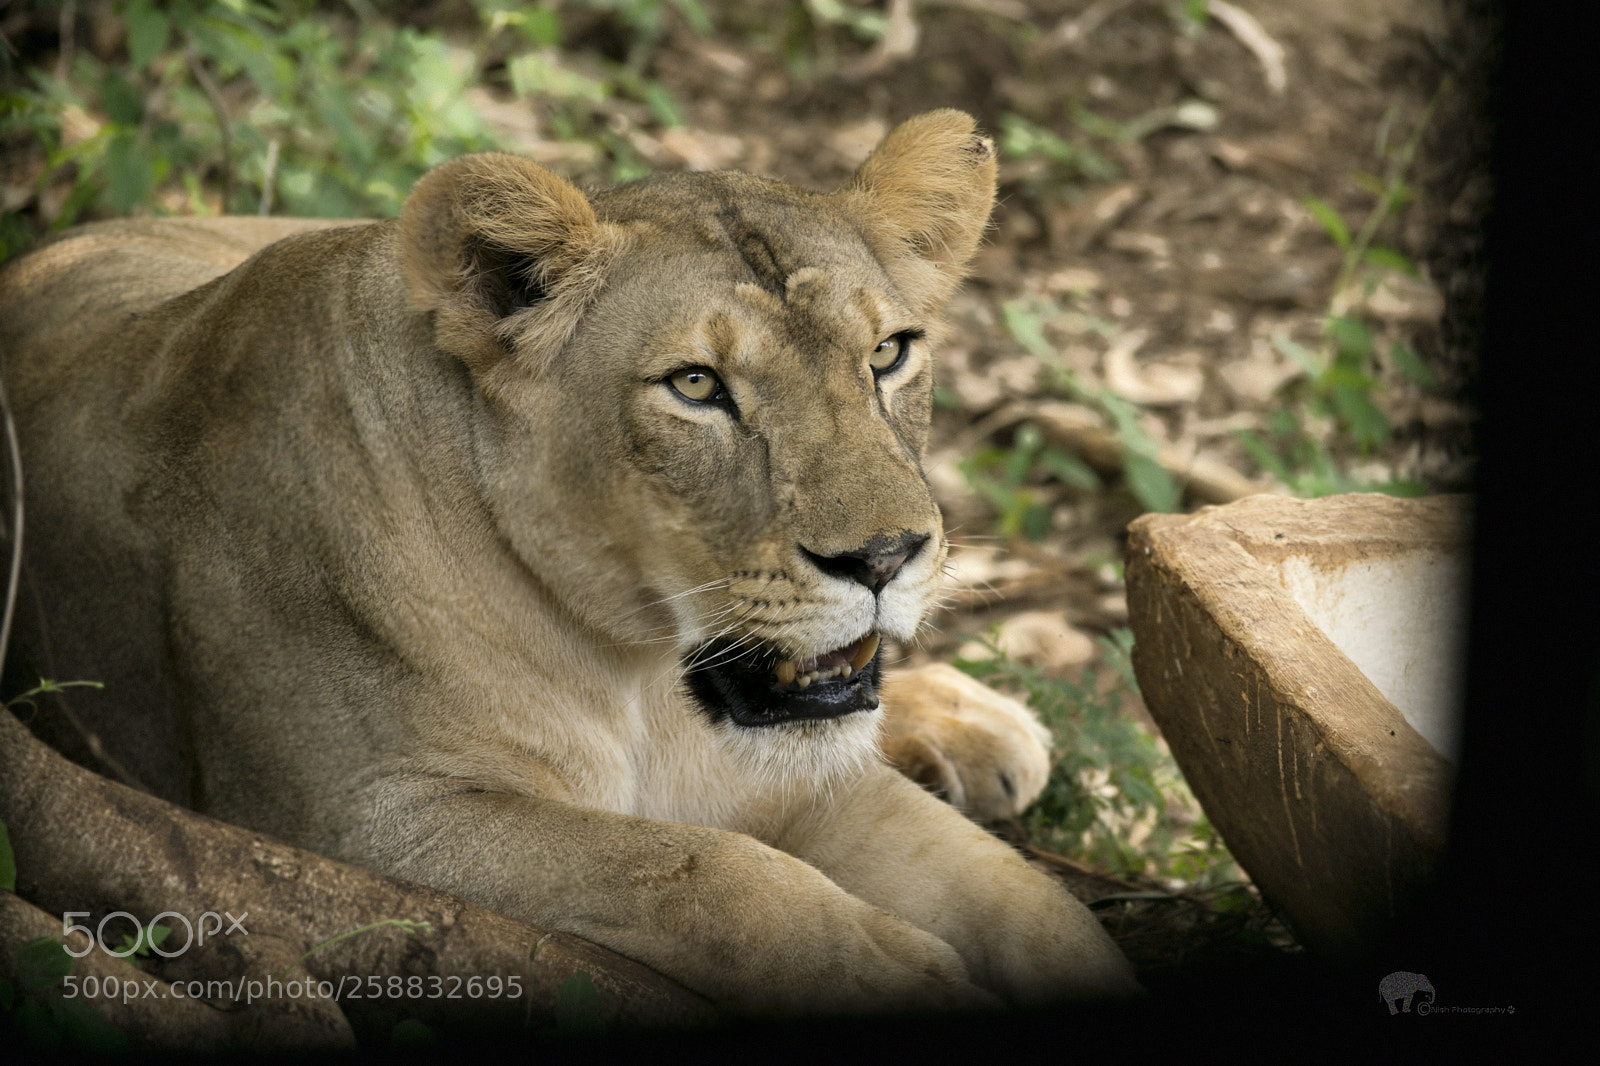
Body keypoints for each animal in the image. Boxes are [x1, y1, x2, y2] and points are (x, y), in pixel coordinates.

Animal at [0, 110, 1138, 1016]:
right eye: (696, 384)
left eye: (888, 353)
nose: (886, 556)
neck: (642, 673)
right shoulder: (353, 824)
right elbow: (701, 868)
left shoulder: (805, 777)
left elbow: (1030, 903)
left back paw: (975, 724)